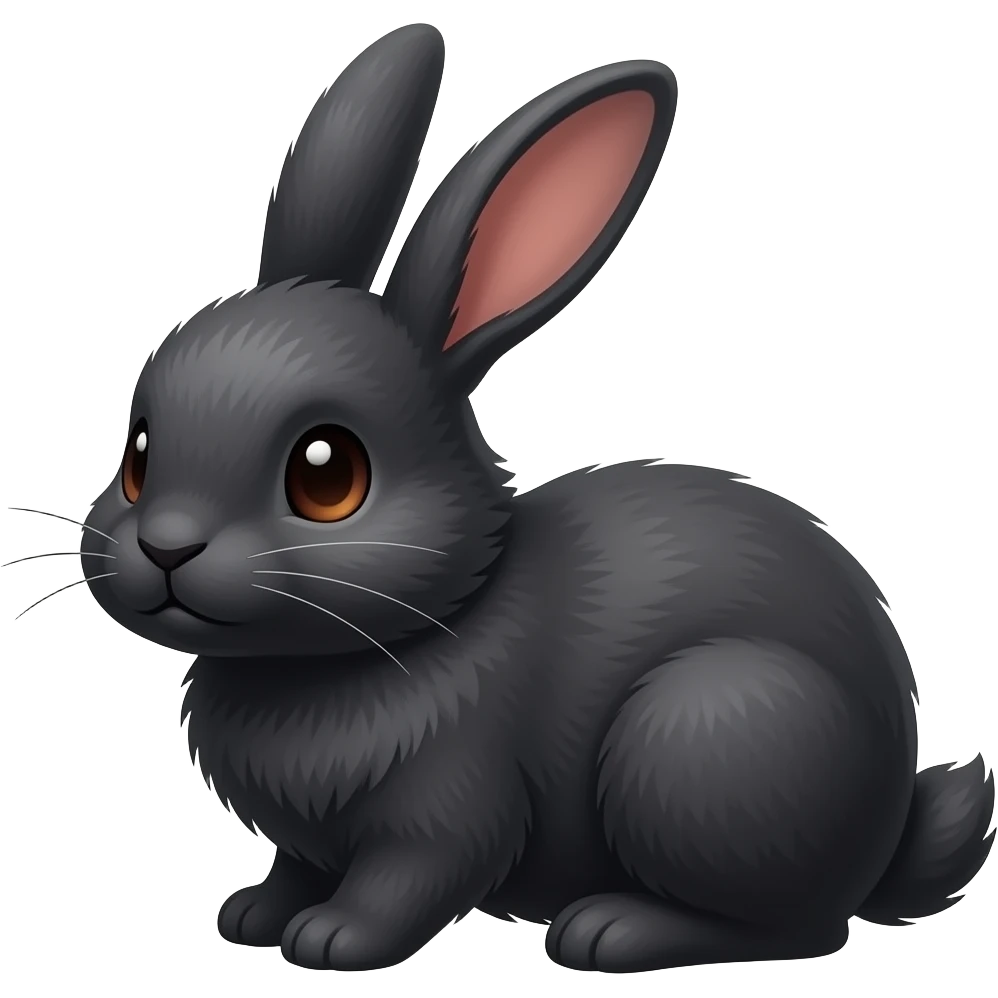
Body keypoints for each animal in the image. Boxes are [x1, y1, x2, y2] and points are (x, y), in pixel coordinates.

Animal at [69, 23, 994, 974]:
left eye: (327, 476)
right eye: (139, 455)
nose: (167, 547)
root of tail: (888, 832)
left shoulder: (448, 811)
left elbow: (407, 880)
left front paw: (332, 939)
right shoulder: (309, 840)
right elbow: (295, 866)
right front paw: (251, 916)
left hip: (705, 735)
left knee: (800, 927)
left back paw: (611, 928)